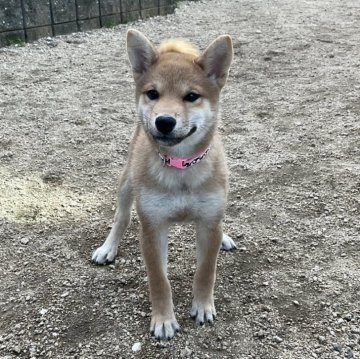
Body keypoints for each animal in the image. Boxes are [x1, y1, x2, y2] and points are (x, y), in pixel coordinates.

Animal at [91, 30, 235, 340]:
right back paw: (108, 247)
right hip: (127, 183)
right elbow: (159, 279)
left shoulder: (209, 223)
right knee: (121, 217)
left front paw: (202, 306)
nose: (165, 121)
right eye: (153, 94)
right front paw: (163, 320)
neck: (181, 168)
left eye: (191, 96)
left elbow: (206, 271)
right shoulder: (153, 227)